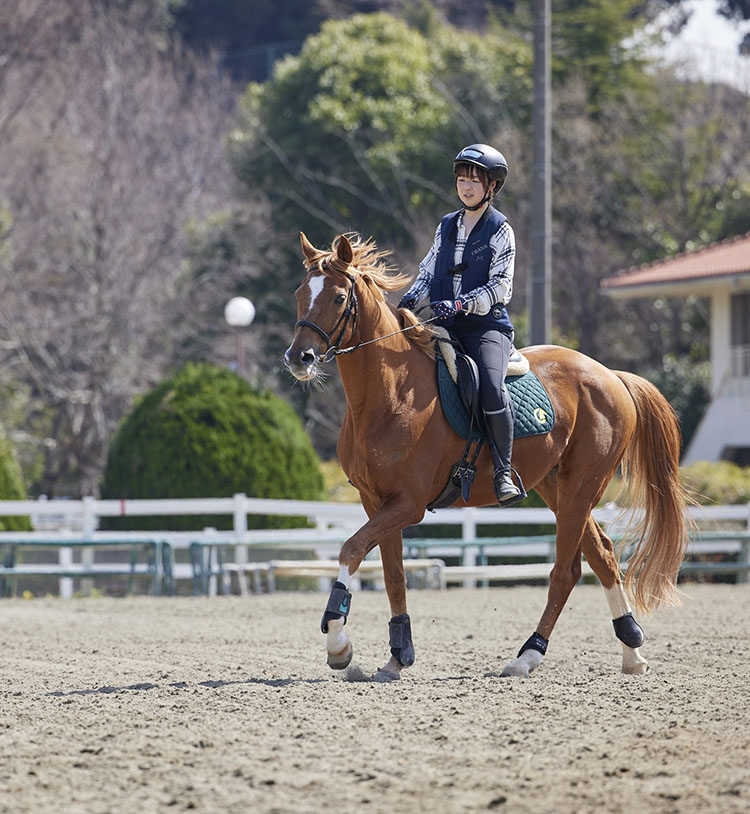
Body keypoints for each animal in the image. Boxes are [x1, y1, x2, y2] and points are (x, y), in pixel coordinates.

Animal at [284, 231, 692, 684]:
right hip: (559, 489)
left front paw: (338, 642)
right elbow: (393, 575)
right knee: (601, 557)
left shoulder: (407, 505)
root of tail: (610, 375)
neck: (387, 394)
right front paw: (398, 654)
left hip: (582, 487)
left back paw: (528, 655)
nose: (298, 358)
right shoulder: (377, 502)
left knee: (564, 572)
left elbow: (350, 550)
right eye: (300, 293)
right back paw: (631, 651)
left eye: (339, 297)